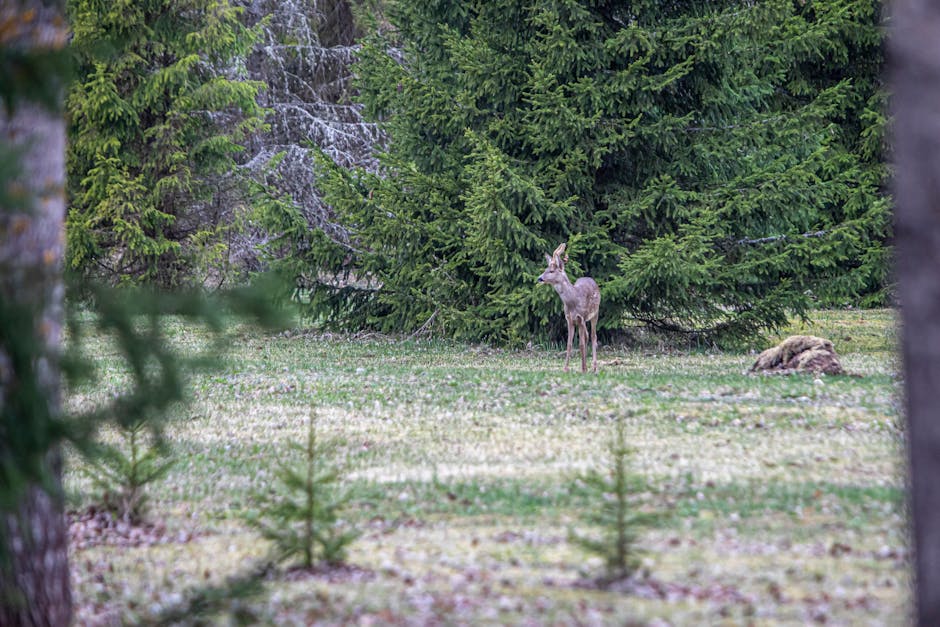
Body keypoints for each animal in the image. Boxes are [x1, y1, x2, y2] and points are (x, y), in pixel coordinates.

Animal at [537, 243, 600, 373]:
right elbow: (569, 344)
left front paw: (583, 369)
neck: (572, 301)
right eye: (545, 270)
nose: (539, 278)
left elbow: (581, 344)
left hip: (595, 313)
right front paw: (566, 368)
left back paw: (594, 367)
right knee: (587, 335)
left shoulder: (581, 317)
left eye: (551, 271)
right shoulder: (569, 319)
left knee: (593, 336)